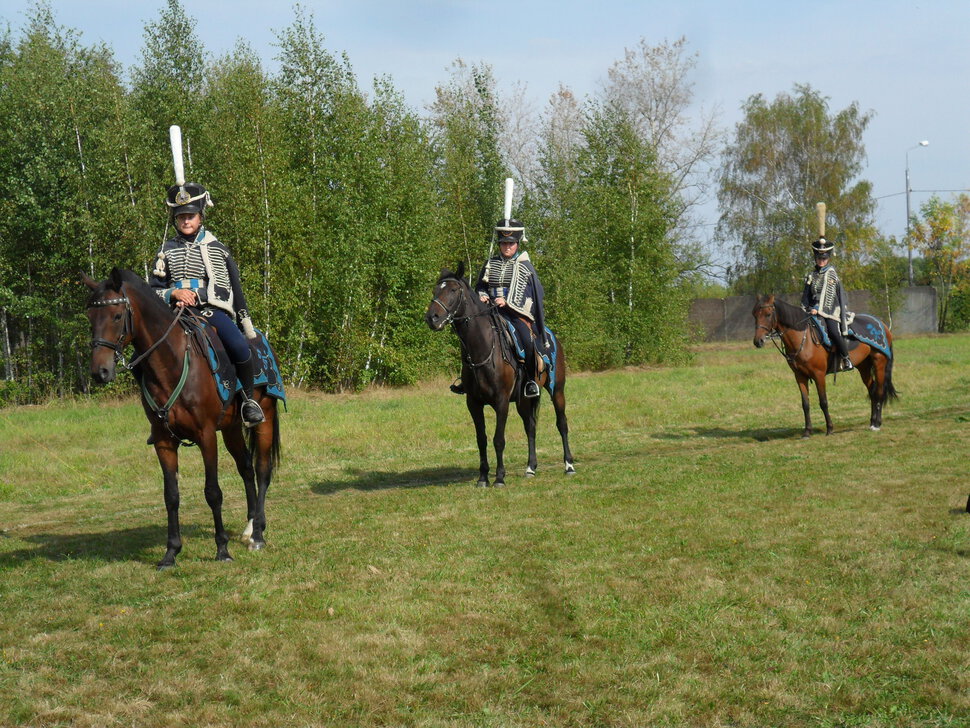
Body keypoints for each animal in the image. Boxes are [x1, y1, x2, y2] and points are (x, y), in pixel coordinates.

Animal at [82, 268, 280, 568]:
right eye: (91, 317)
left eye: (117, 316)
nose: (100, 371)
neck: (171, 363)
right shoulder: (164, 441)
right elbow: (171, 495)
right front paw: (171, 552)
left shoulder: (206, 436)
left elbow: (213, 492)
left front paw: (222, 549)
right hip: (232, 428)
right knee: (246, 468)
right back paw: (248, 528)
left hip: (264, 418)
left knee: (262, 470)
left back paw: (257, 534)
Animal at [426, 264, 576, 486]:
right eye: (436, 290)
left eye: (453, 290)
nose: (432, 318)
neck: (483, 348)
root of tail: (550, 335)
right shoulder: (473, 403)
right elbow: (481, 440)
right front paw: (482, 477)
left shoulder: (501, 401)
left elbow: (498, 439)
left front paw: (499, 478)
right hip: (524, 399)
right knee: (530, 426)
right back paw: (530, 467)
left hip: (557, 390)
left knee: (562, 424)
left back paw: (569, 465)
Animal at [752, 294, 896, 438]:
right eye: (754, 314)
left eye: (768, 314)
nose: (758, 341)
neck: (804, 339)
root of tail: (882, 324)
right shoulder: (800, 376)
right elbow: (805, 404)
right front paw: (807, 431)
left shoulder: (819, 375)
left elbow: (823, 402)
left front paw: (830, 428)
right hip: (864, 366)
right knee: (872, 391)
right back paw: (872, 421)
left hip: (879, 363)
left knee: (879, 391)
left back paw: (877, 424)